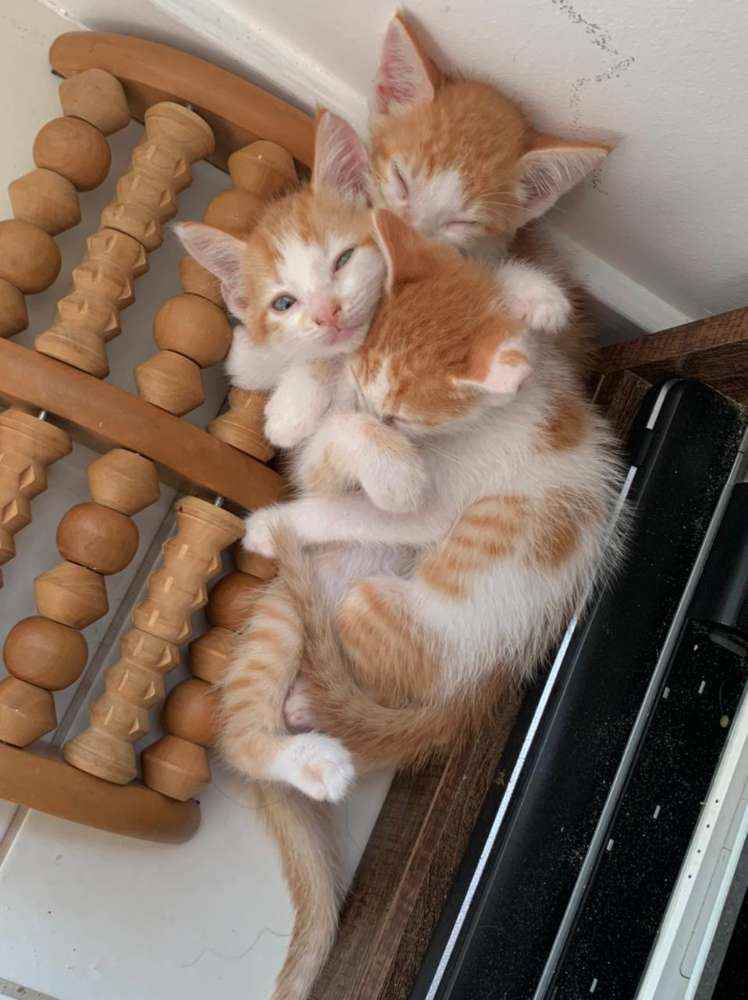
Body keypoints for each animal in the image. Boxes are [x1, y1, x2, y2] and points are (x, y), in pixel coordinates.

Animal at [219, 209, 625, 1000]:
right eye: (363, 368)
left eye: (402, 414)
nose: (367, 404)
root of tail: (488, 682)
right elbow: (307, 425)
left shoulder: (433, 508)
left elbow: (368, 486)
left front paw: (287, 510)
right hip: (287, 611)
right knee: (245, 732)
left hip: (376, 607)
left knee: (250, 735)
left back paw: (313, 727)